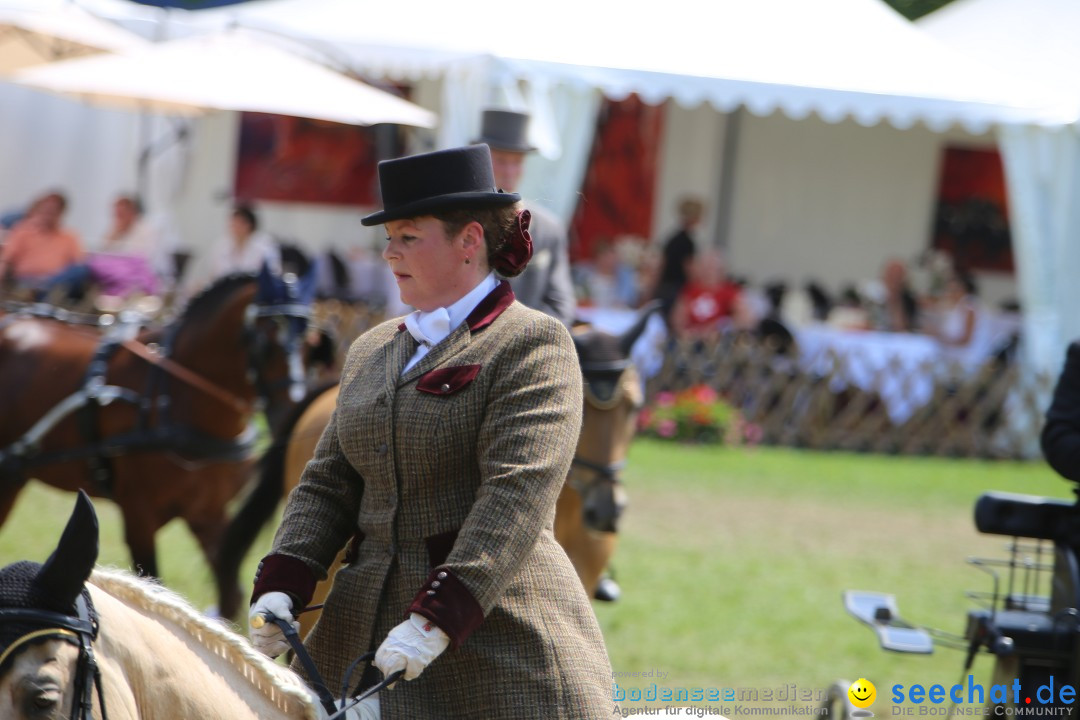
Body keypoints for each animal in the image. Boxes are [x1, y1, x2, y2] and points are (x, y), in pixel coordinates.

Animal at [0, 269, 313, 621]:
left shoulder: (208, 514)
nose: (293, 410)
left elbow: (230, 593)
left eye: (309, 342)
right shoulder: (139, 514)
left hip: (12, 477)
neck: (175, 397)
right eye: (266, 342)